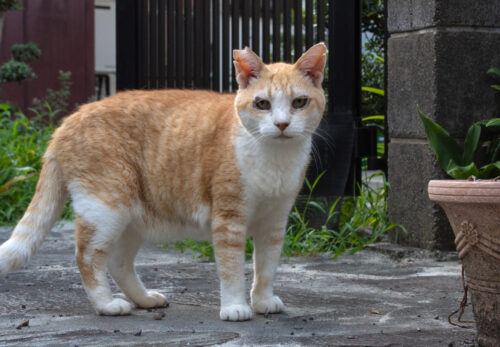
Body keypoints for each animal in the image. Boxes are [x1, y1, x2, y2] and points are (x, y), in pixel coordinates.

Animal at [0, 44, 326, 324]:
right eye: (262, 104)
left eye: (299, 102)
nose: (282, 124)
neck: (275, 160)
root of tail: (70, 119)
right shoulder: (229, 219)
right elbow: (232, 268)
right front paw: (235, 306)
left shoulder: (274, 222)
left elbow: (266, 267)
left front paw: (262, 300)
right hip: (106, 209)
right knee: (88, 257)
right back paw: (107, 305)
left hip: (131, 217)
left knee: (118, 262)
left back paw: (144, 299)